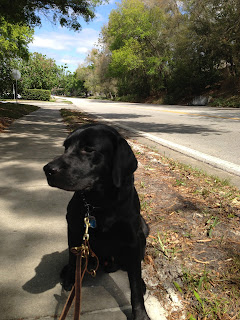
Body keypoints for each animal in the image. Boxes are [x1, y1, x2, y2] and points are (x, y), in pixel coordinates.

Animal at [43, 124, 150, 318]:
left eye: (89, 149)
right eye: (65, 147)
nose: (48, 169)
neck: (101, 203)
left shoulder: (132, 240)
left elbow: (135, 286)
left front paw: (140, 315)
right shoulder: (74, 229)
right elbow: (73, 259)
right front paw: (71, 278)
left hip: (143, 232)